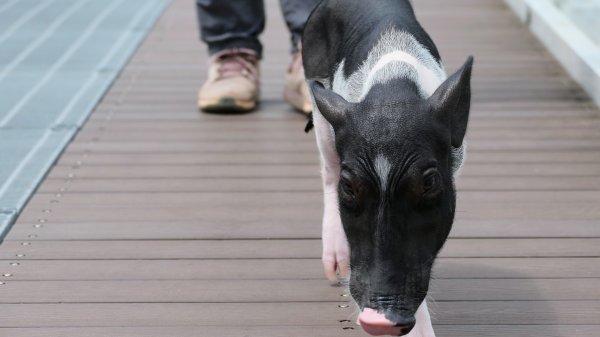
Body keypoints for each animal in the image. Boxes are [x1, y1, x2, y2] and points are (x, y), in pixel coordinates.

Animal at [302, 1, 472, 334]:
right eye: (349, 186)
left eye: (429, 182)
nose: (378, 319)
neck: (392, 89)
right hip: (318, 101)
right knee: (327, 167)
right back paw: (334, 268)